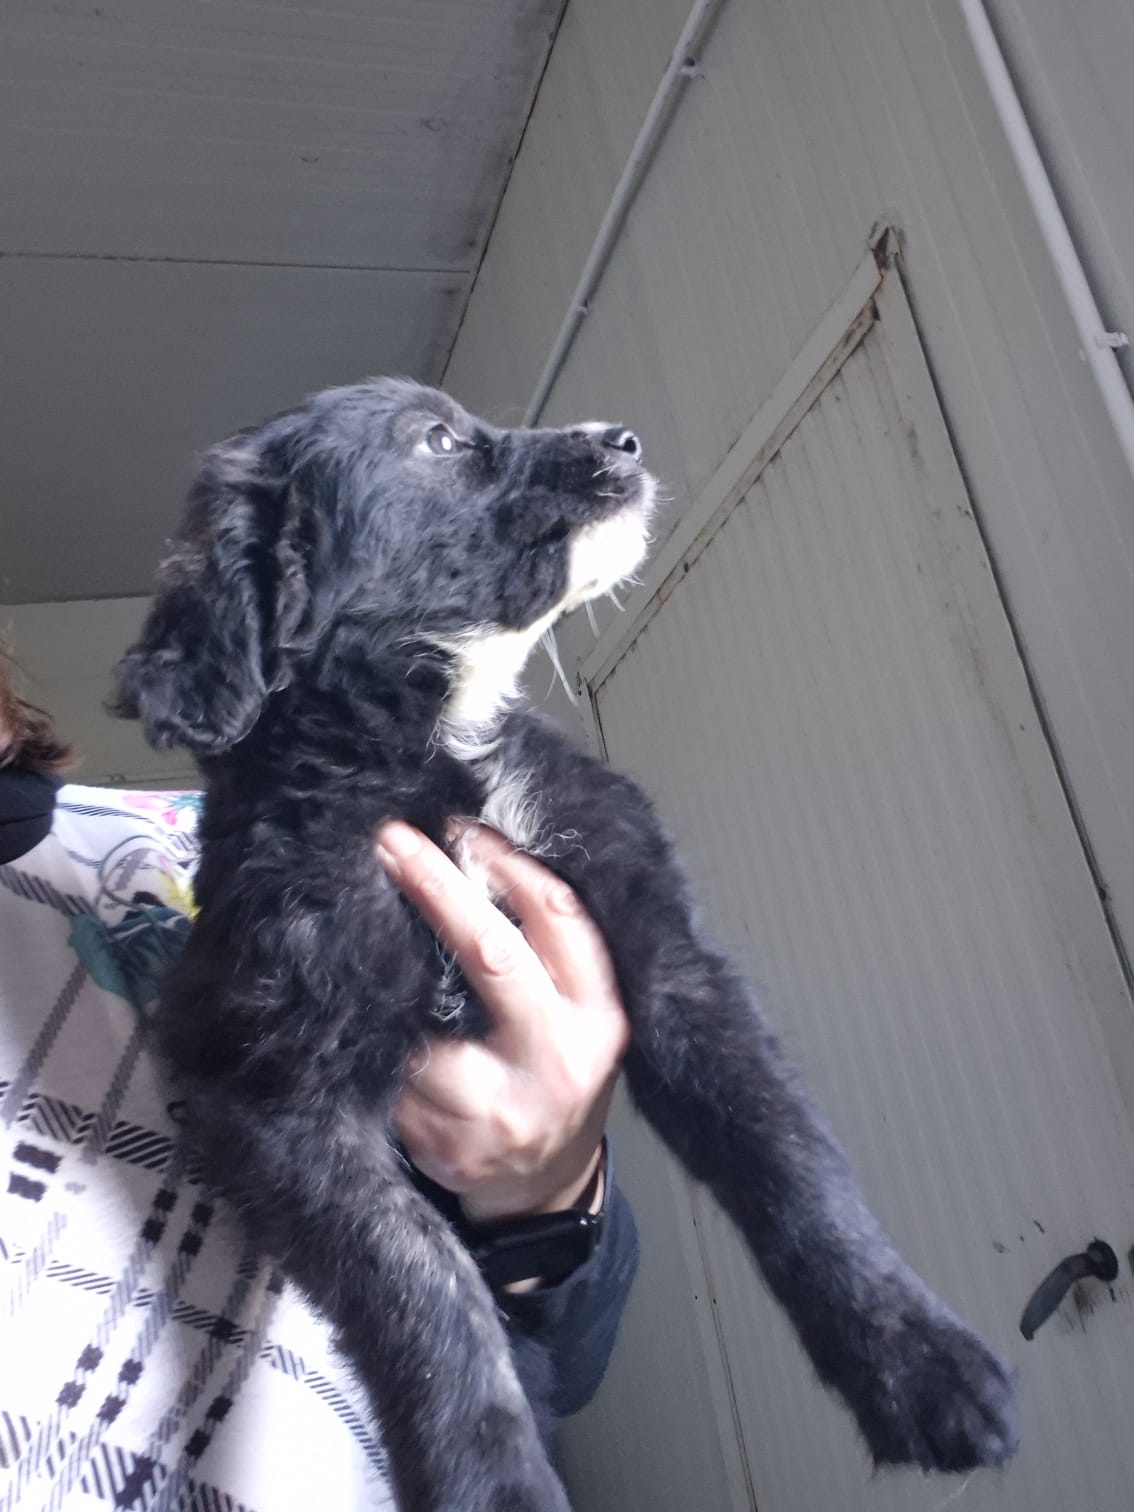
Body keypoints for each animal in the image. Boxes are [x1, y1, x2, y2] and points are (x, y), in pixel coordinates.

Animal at [114, 379, 1017, 1510]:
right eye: (438, 440)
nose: (623, 439)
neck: (426, 753)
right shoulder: (272, 1091)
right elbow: (425, 1287)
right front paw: (496, 1479)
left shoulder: (667, 950)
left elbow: (788, 1158)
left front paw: (918, 1361)